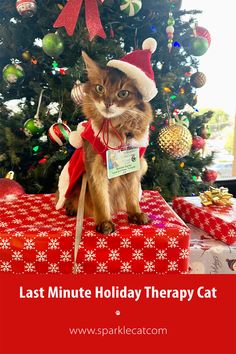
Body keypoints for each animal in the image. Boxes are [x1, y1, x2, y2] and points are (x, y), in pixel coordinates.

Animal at [56, 38, 158, 235]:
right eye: (100, 88)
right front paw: (104, 221)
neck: (118, 129)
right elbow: (100, 197)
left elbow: (132, 194)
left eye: (123, 93)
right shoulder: (94, 168)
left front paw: (135, 213)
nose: (108, 103)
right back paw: (71, 207)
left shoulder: (135, 166)